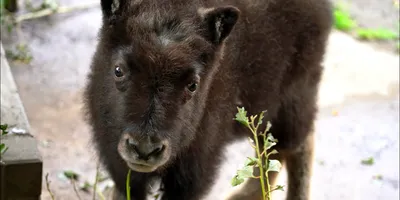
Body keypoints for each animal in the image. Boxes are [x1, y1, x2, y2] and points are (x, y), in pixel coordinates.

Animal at [83, 0, 334, 199]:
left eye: (193, 84)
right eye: (118, 70)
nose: (145, 149)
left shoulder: (193, 173)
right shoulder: (120, 166)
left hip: (294, 95)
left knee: (292, 144)